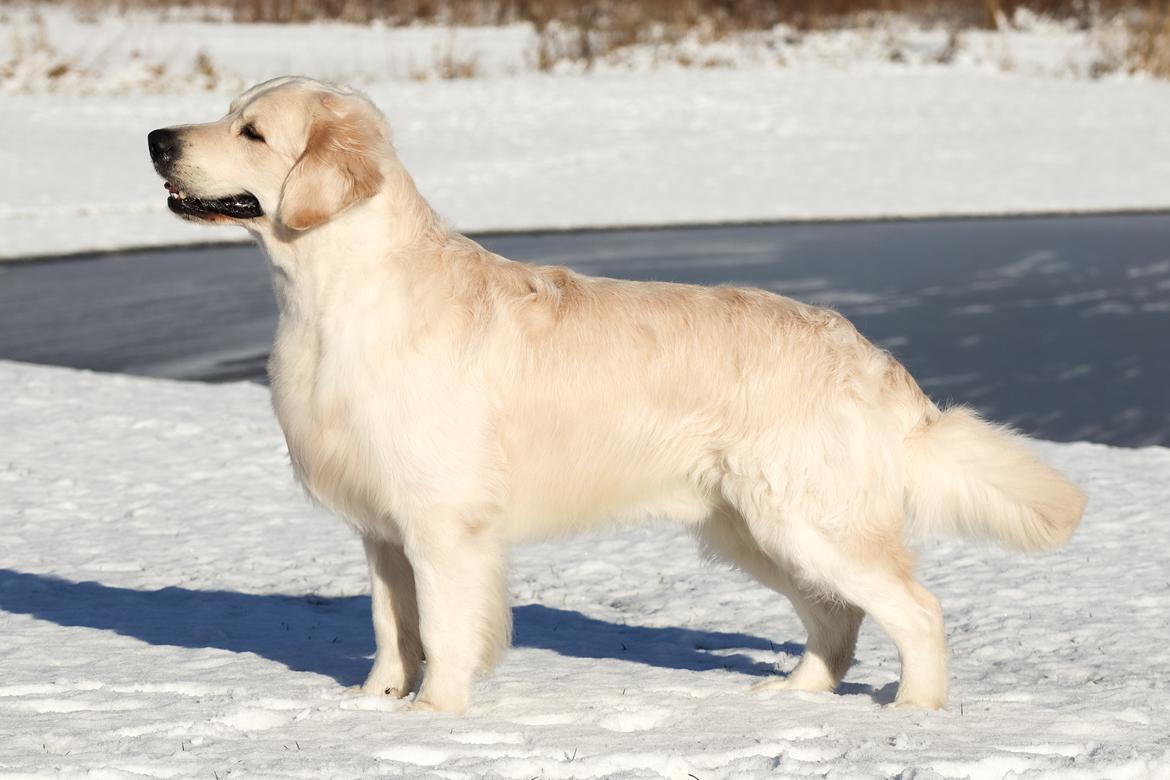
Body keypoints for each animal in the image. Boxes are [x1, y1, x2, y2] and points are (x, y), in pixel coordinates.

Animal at [148, 76, 1085, 715]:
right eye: (228, 113)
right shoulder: (382, 528)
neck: (334, 294)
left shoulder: (445, 523)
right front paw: (376, 706)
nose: (156, 137)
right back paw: (794, 695)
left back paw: (915, 714)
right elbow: (390, 627)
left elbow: (444, 630)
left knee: (915, 610)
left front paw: (436, 714)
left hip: (809, 519)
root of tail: (872, 356)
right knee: (835, 617)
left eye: (252, 131)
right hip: (750, 528)